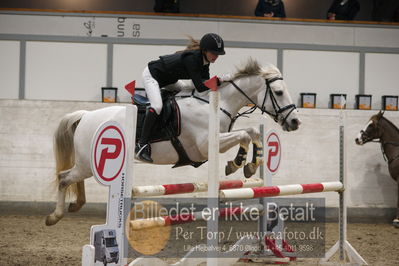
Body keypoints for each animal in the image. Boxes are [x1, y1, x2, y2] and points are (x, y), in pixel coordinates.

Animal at [45, 59, 302, 225]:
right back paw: (54, 216)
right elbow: (245, 134)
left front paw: (249, 165)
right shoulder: (205, 146)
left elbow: (252, 132)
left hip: (87, 164)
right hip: (89, 163)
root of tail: (86, 115)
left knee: (71, 178)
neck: (217, 104)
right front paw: (237, 163)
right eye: (279, 92)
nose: (295, 122)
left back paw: (76, 205)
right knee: (64, 178)